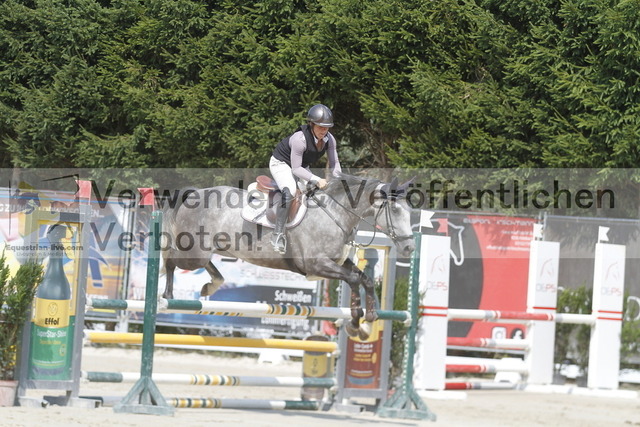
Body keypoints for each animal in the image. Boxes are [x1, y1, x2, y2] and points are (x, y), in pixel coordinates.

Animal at [159, 173, 415, 339]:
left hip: (212, 249)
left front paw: (368, 319)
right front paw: (354, 323)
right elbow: (353, 280)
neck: (336, 213)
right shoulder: (317, 266)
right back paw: (167, 296)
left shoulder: (338, 262)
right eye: (395, 210)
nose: (409, 248)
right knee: (170, 260)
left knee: (209, 267)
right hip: (195, 252)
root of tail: (194, 194)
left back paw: (210, 286)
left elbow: (366, 279)